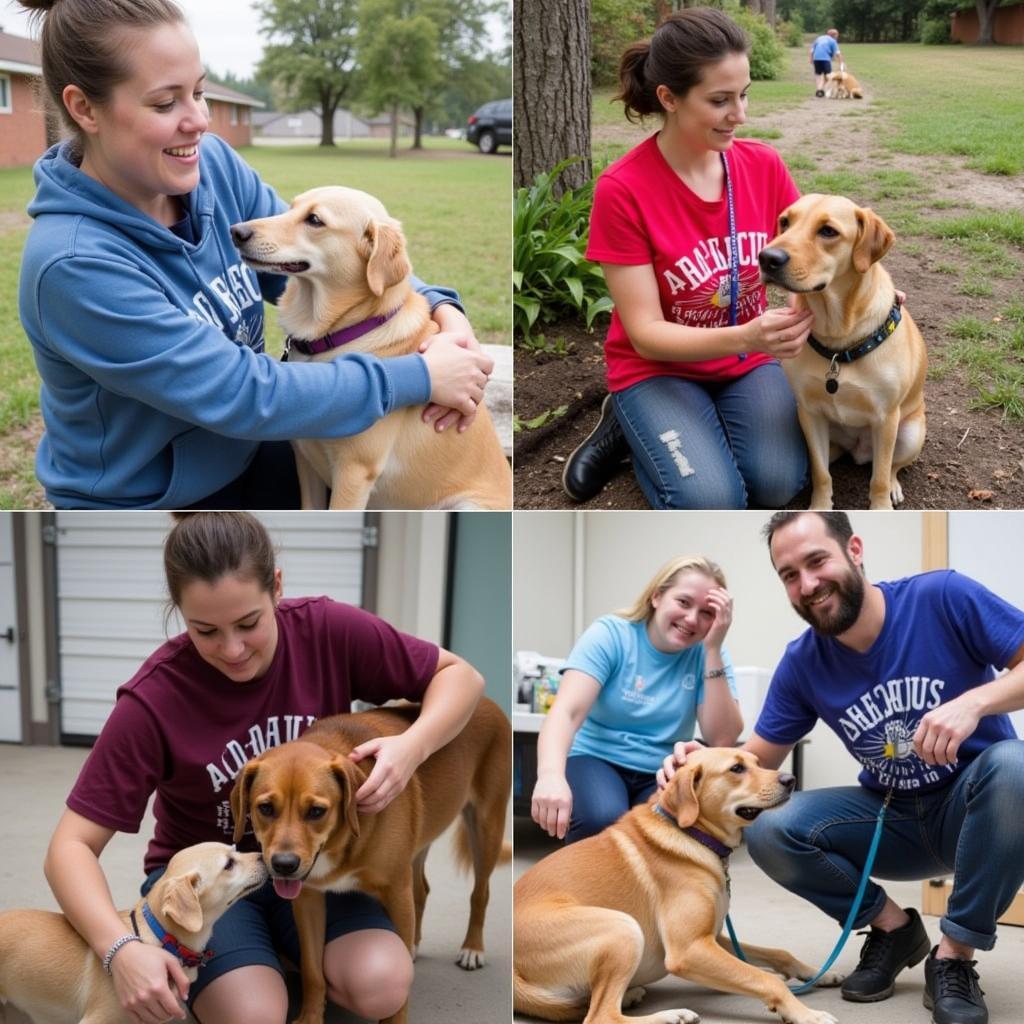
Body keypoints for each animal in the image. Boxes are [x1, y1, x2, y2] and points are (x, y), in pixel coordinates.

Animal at [231, 696, 512, 1024]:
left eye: (316, 811)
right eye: (265, 808)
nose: (284, 866)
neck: (341, 841)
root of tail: (488, 701)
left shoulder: (396, 894)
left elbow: (400, 986)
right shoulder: (308, 900)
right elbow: (313, 972)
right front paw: (311, 1017)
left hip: (486, 829)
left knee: (480, 893)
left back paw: (472, 948)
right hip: (419, 842)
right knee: (422, 890)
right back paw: (416, 944)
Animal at [235, 185, 516, 512]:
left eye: (315, 220)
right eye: (289, 208)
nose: (236, 231)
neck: (341, 333)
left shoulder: (354, 472)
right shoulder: (305, 461)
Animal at [512, 745, 839, 1024]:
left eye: (758, 762)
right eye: (736, 768)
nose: (790, 779)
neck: (693, 835)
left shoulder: (712, 937)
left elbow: (778, 954)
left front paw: (816, 973)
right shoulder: (689, 949)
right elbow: (765, 979)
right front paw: (805, 1013)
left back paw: (631, 994)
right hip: (622, 927)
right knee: (601, 1016)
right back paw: (671, 1015)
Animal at [753, 192, 929, 507]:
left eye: (828, 231)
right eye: (784, 222)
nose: (767, 258)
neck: (838, 339)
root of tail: (859, 451)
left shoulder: (886, 418)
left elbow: (879, 478)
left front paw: (881, 507)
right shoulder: (809, 413)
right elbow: (821, 473)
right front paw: (820, 506)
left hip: (909, 433)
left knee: (892, 466)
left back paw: (894, 486)